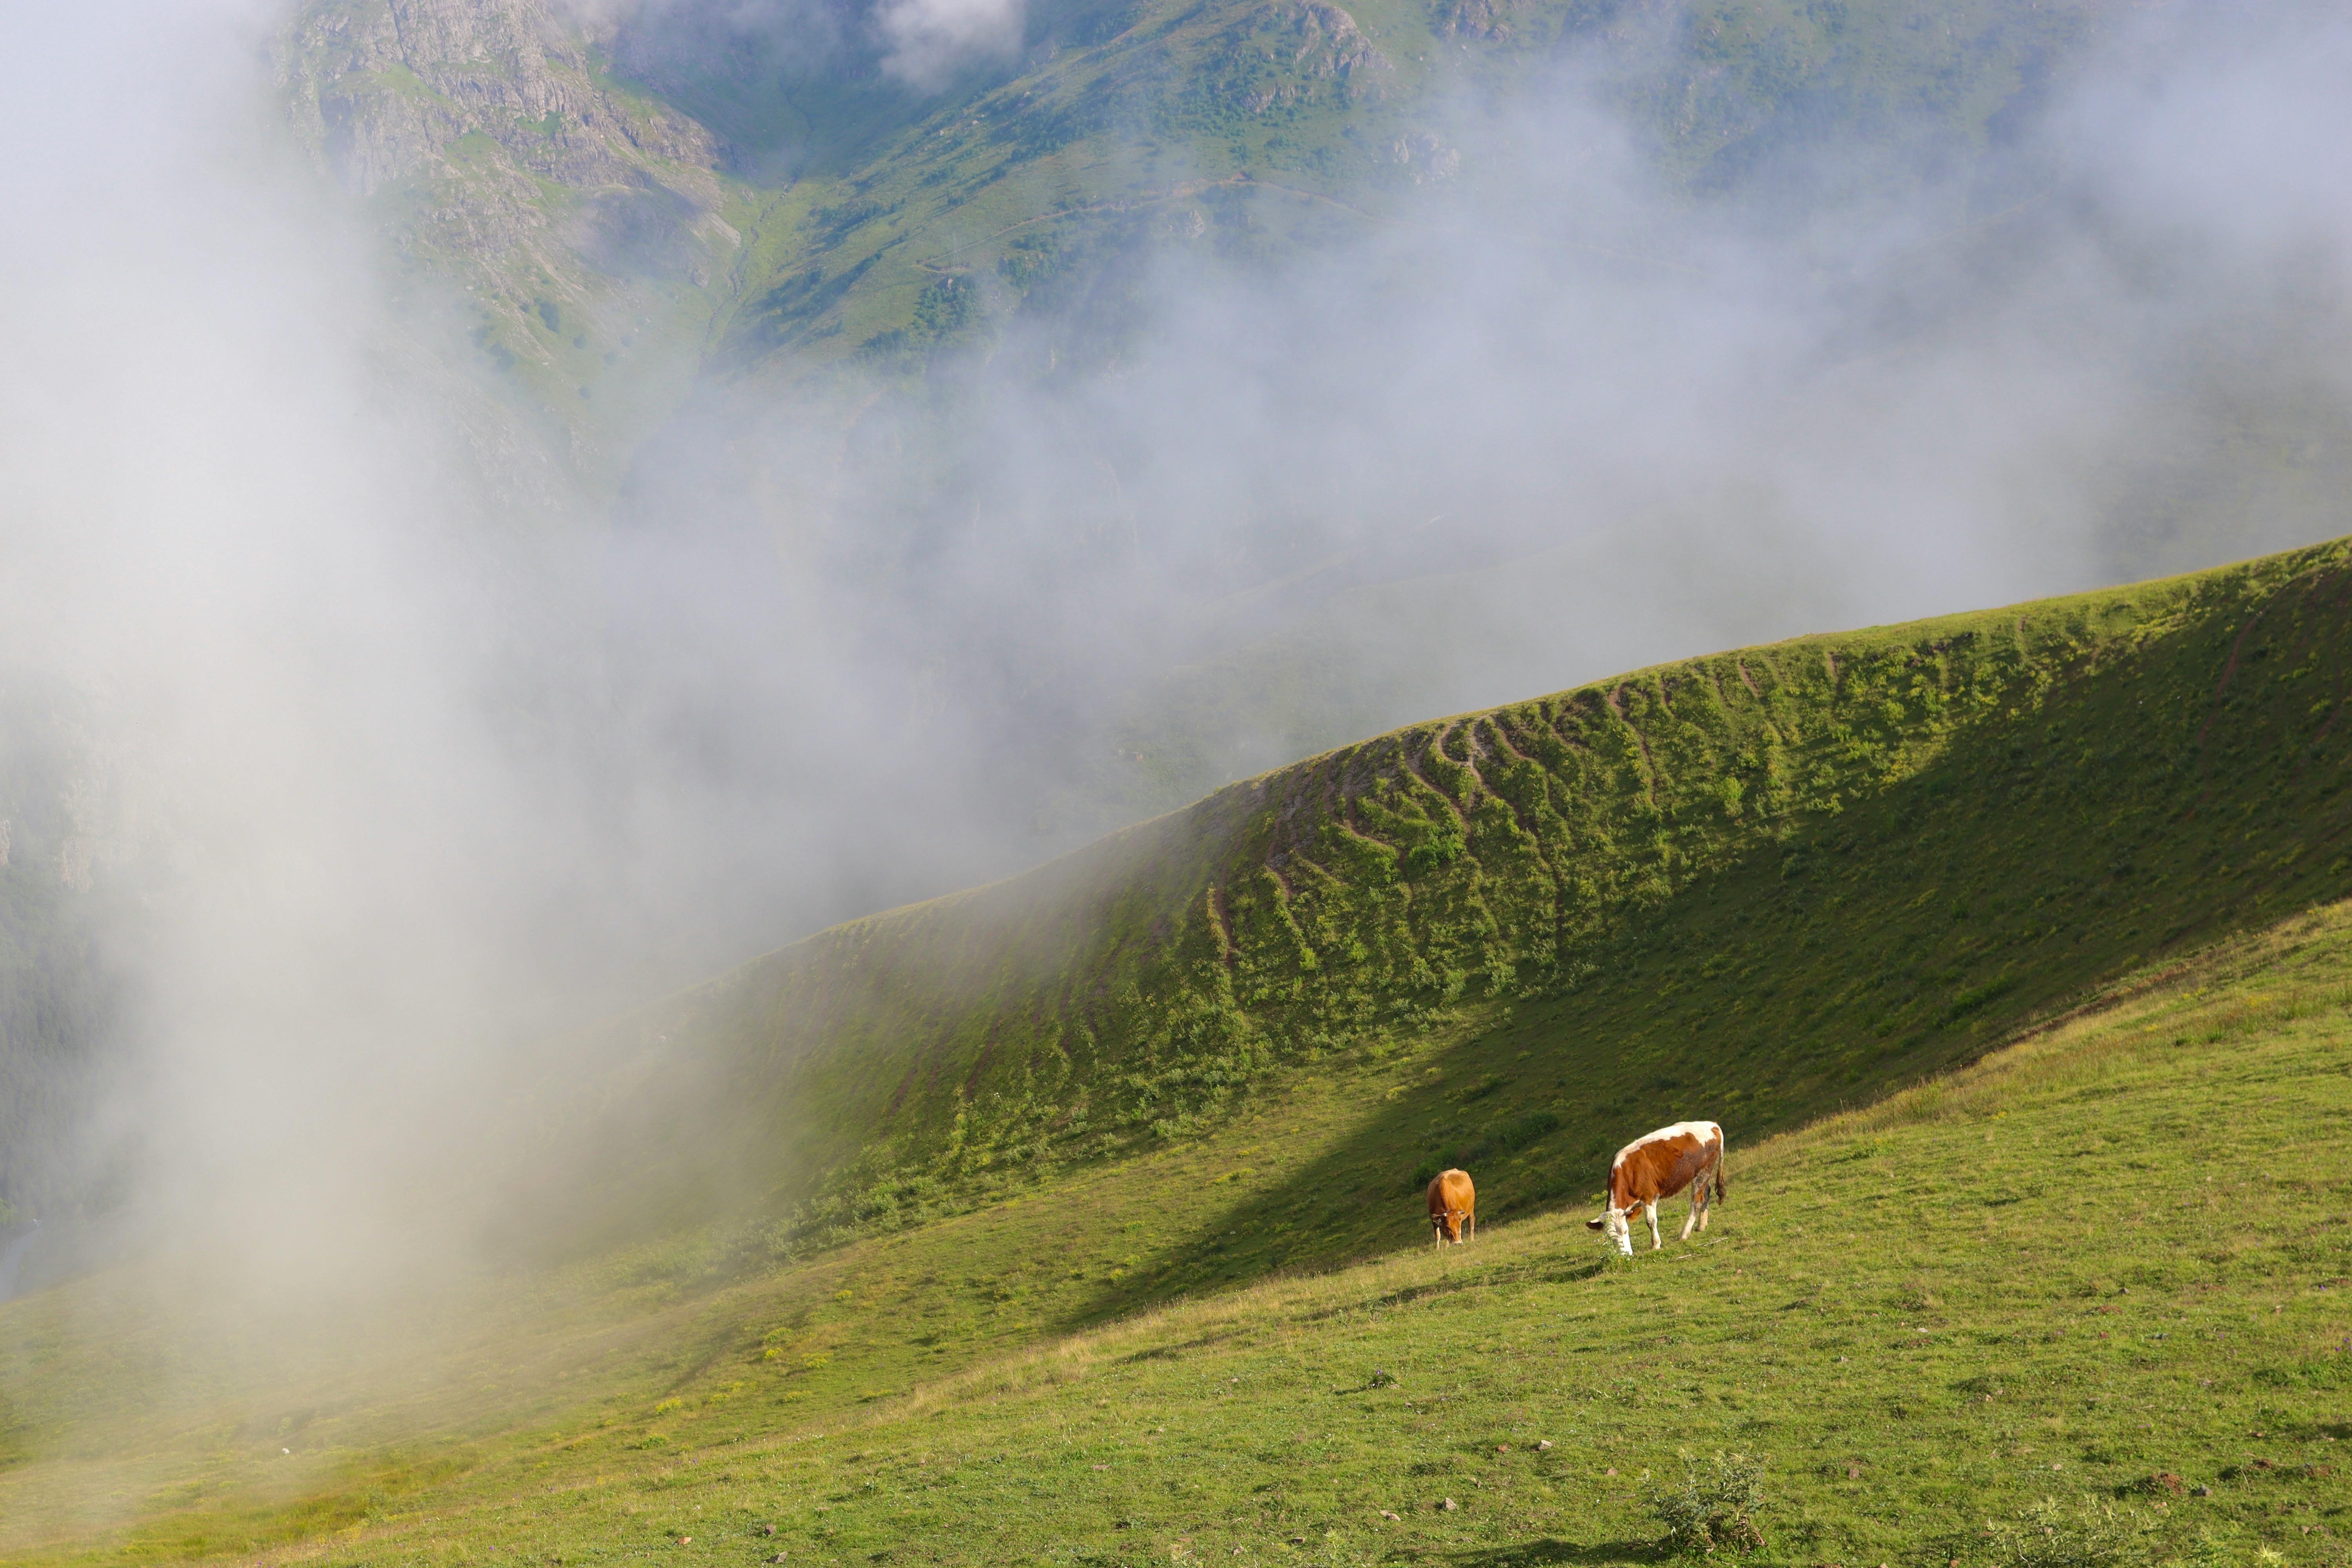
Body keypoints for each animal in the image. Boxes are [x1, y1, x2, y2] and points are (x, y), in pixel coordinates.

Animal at [1427, 1168, 1475, 1248]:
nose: (1458, 1243)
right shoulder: (1433, 1219)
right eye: (1448, 1227)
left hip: (1471, 1208)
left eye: (1459, 1226)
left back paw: (1472, 1240)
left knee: (1471, 1222)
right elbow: (1438, 1235)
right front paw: (1438, 1249)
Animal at [1585, 1121, 1725, 1256]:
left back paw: (1684, 1234)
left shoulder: (1649, 1196)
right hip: (1703, 1174)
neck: (1629, 1172)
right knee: (1706, 1193)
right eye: (1610, 1238)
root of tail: (1712, 1125)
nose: (1625, 1255)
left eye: (1626, 1231)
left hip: (1703, 1172)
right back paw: (1701, 1226)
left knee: (1696, 1203)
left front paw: (1656, 1245)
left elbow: (1651, 1222)